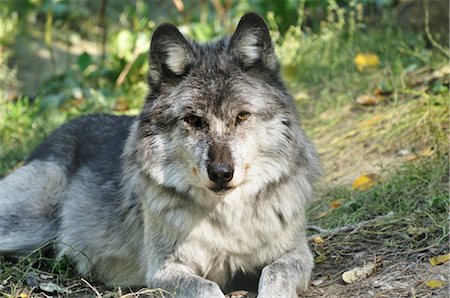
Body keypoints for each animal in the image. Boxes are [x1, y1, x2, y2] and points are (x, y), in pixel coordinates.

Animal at [1, 13, 322, 298]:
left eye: (242, 116)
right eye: (193, 120)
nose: (221, 173)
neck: (227, 216)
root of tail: (51, 136)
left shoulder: (296, 253)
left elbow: (274, 273)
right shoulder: (163, 270)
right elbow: (206, 288)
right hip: (30, 226)